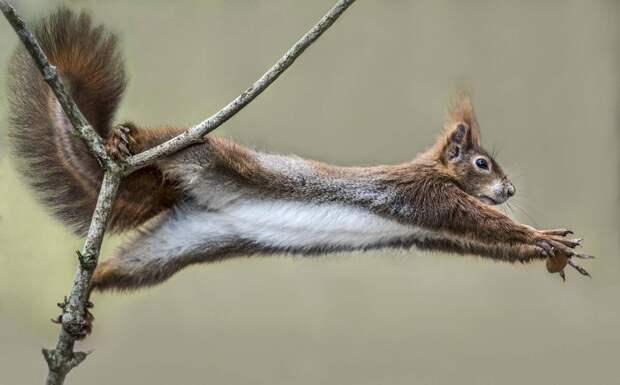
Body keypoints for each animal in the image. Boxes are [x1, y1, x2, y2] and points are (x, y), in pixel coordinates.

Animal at [7, 8, 592, 292]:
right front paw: (540, 236)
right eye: (481, 163)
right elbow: (480, 221)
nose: (509, 189)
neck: (434, 171)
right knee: (161, 144)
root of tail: (183, 200)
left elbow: (482, 242)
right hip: (196, 154)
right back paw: (122, 140)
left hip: (177, 248)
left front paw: (551, 249)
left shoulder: (434, 231)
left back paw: (87, 301)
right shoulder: (424, 195)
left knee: (125, 269)